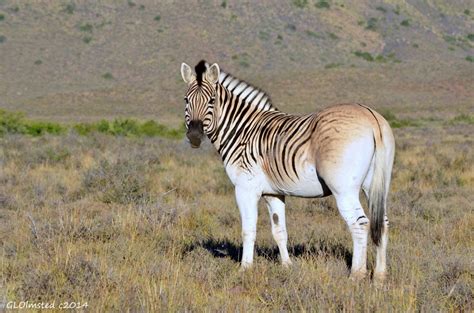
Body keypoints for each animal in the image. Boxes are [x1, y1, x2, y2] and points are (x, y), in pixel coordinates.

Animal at [180, 60, 394, 280]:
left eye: (212, 101)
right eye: (186, 100)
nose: (194, 136)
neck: (242, 132)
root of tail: (370, 116)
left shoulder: (245, 189)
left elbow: (248, 230)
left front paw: (245, 269)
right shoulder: (273, 193)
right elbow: (279, 230)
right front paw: (287, 266)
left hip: (344, 189)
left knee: (360, 224)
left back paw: (356, 275)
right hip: (376, 184)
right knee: (382, 223)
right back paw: (380, 276)